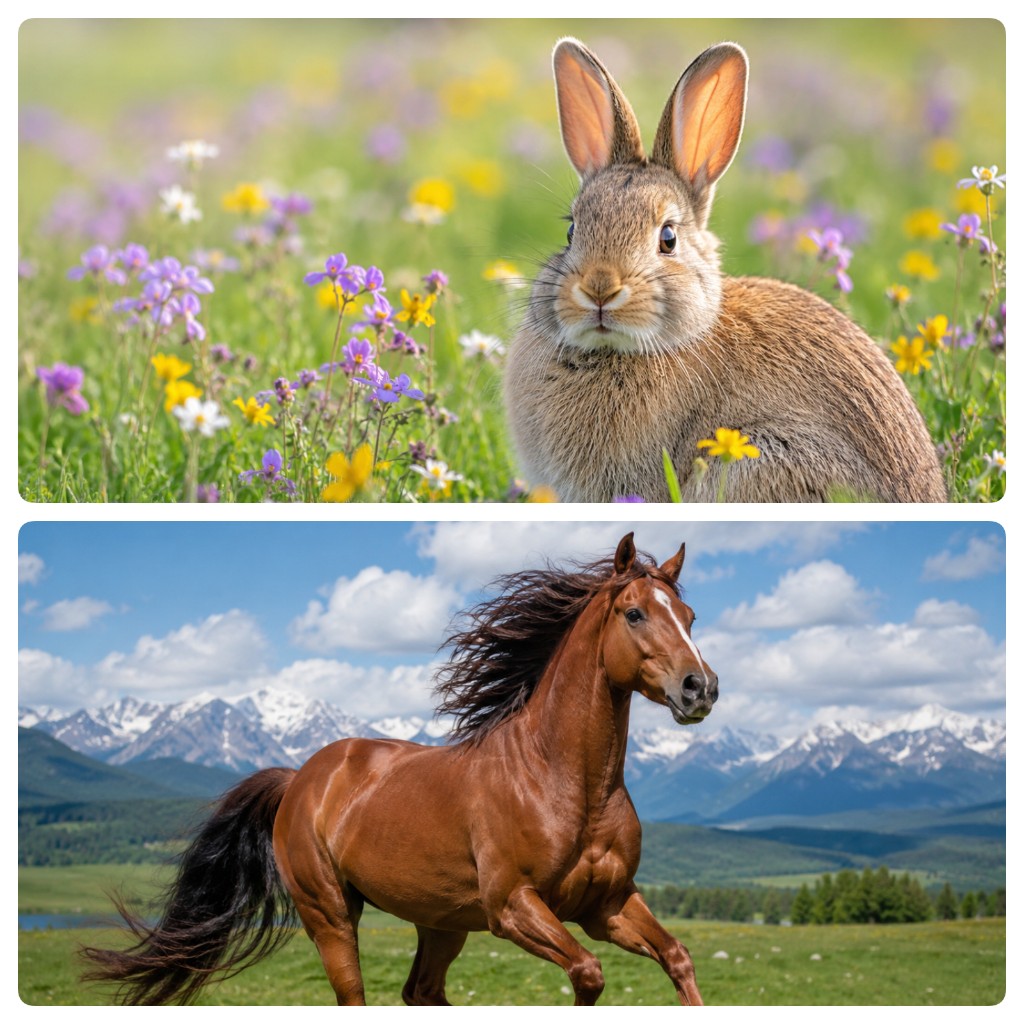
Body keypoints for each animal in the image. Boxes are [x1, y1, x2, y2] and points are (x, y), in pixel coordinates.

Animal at [80, 532, 718, 1006]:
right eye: (634, 613)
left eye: (689, 615)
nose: (701, 687)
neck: (564, 781)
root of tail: (300, 779)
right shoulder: (513, 907)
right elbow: (588, 973)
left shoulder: (606, 906)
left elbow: (677, 958)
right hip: (332, 914)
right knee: (357, 993)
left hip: (442, 922)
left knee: (421, 992)